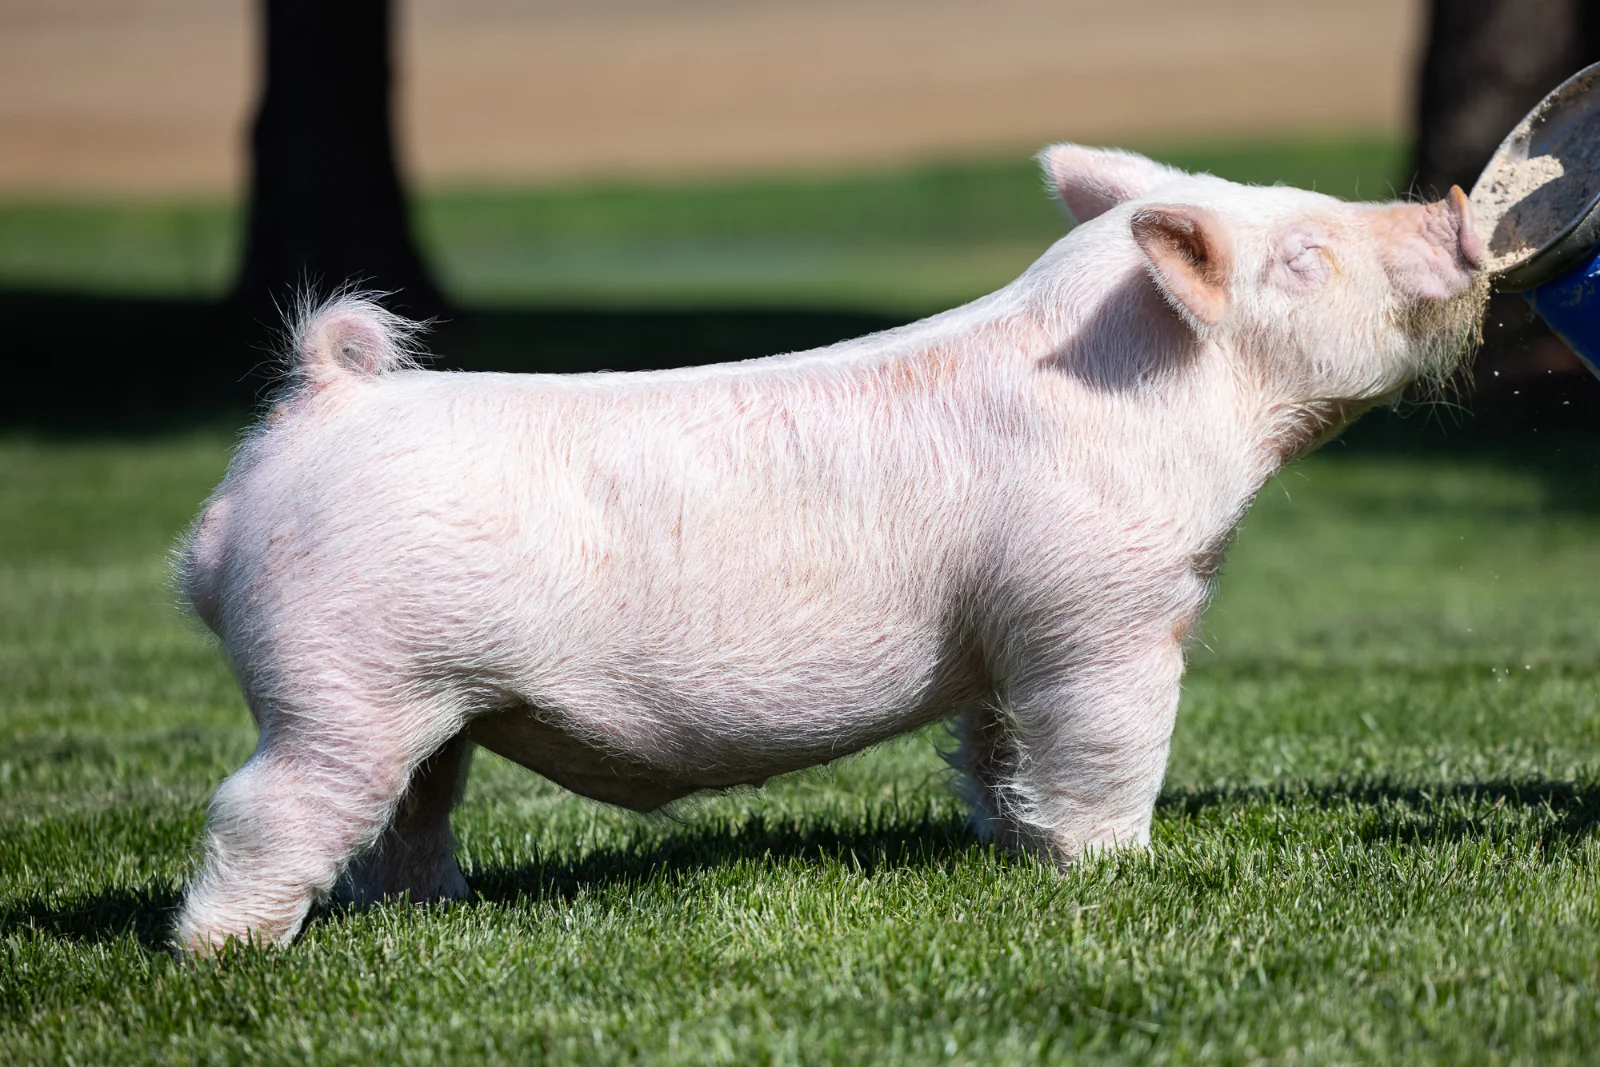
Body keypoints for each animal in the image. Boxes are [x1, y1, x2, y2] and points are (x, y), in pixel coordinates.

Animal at [172, 145, 1486, 954]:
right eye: (1303, 252)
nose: (1455, 208)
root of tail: (322, 403)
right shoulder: (1099, 608)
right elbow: (1109, 741)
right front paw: (1111, 869)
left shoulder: (1006, 634)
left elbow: (995, 745)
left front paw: (1012, 845)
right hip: (339, 682)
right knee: (262, 805)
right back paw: (223, 954)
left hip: (428, 699)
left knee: (413, 811)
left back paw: (445, 905)